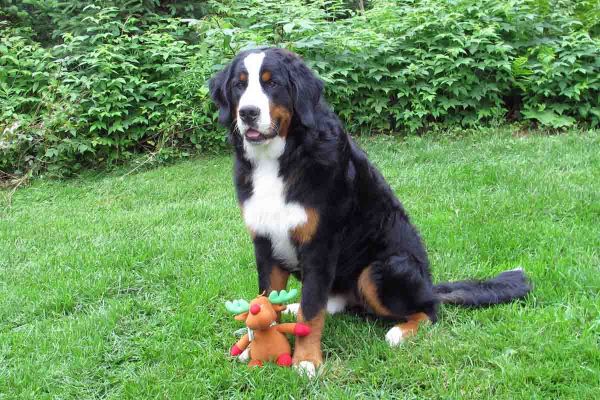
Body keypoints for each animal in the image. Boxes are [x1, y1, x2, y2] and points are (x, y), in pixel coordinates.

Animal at [210, 48, 528, 376]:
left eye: (272, 83)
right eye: (239, 84)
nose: (247, 112)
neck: (280, 159)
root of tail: (430, 284)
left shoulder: (320, 244)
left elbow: (311, 313)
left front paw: (306, 360)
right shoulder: (265, 243)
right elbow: (268, 300)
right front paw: (257, 346)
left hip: (382, 268)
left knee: (429, 309)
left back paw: (400, 332)